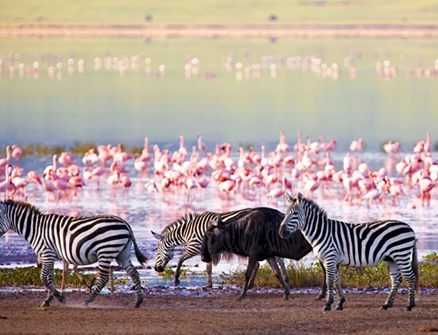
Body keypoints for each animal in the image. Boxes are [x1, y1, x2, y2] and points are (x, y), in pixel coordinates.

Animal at [0, 201, 147, 308]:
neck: (36, 229)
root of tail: (125, 223)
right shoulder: (50, 255)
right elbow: (50, 278)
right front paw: (49, 299)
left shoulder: (47, 253)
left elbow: (43, 278)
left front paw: (60, 298)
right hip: (122, 253)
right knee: (134, 273)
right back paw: (138, 301)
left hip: (105, 251)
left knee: (104, 277)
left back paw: (88, 300)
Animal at [151, 207, 290, 288]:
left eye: (156, 250)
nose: (156, 269)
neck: (187, 231)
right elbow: (208, 269)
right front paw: (209, 285)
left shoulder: (194, 246)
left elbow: (180, 259)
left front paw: (176, 280)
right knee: (278, 259)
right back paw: (285, 280)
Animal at [278, 193, 420, 314]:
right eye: (285, 214)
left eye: (295, 213)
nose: (281, 232)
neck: (321, 232)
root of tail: (410, 228)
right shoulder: (332, 259)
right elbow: (337, 281)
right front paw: (340, 303)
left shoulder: (330, 257)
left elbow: (330, 281)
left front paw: (328, 304)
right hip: (392, 258)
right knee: (396, 279)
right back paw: (386, 305)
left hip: (401, 255)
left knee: (411, 277)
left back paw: (410, 305)